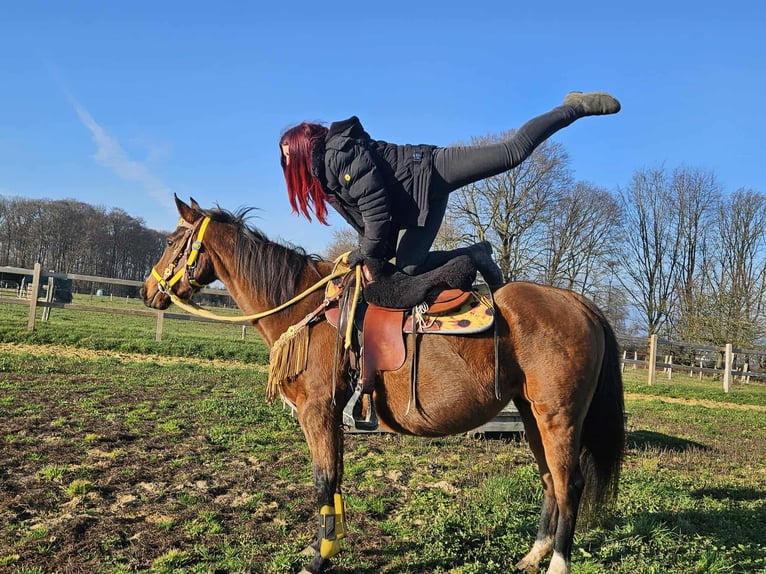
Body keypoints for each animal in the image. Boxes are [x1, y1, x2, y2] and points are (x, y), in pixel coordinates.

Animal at [140, 196, 625, 574]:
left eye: (170, 242)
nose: (148, 290)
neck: (306, 307)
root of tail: (578, 303)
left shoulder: (317, 412)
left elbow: (323, 482)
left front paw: (318, 558)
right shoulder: (332, 416)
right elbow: (334, 481)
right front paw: (329, 547)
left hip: (558, 417)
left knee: (569, 483)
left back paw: (557, 562)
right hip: (530, 415)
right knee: (549, 481)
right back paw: (531, 556)